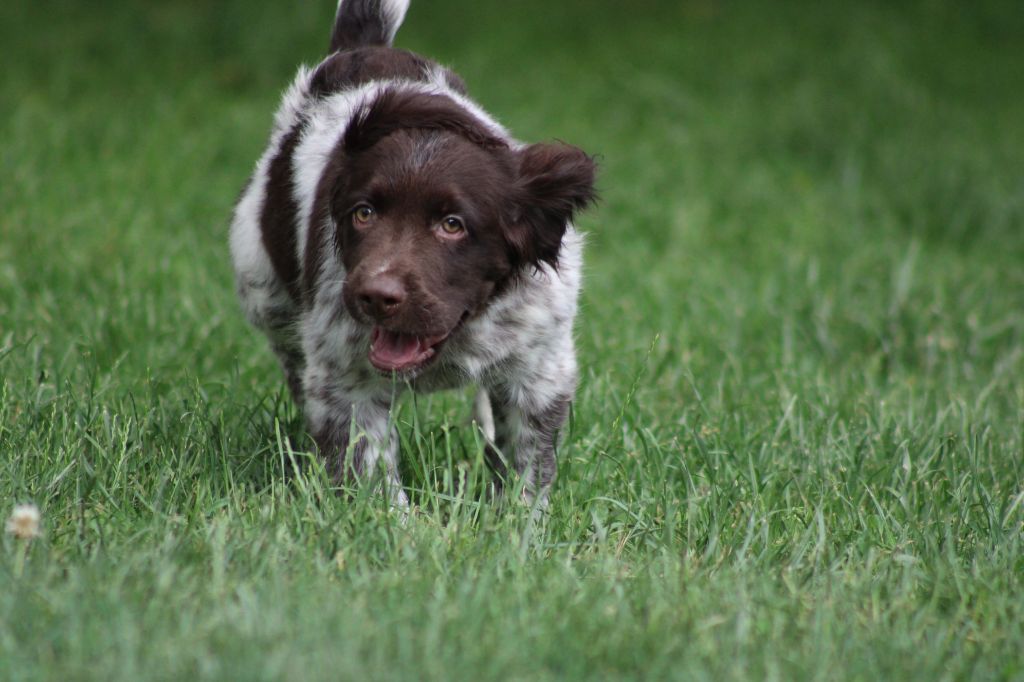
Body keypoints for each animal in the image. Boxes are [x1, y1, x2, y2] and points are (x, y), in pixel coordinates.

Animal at [228, 0, 598, 501]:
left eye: (453, 225)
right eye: (363, 214)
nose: (376, 296)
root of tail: (360, 49)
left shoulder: (541, 368)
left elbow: (526, 464)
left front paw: (516, 519)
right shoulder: (344, 379)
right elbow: (369, 467)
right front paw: (389, 518)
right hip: (265, 286)